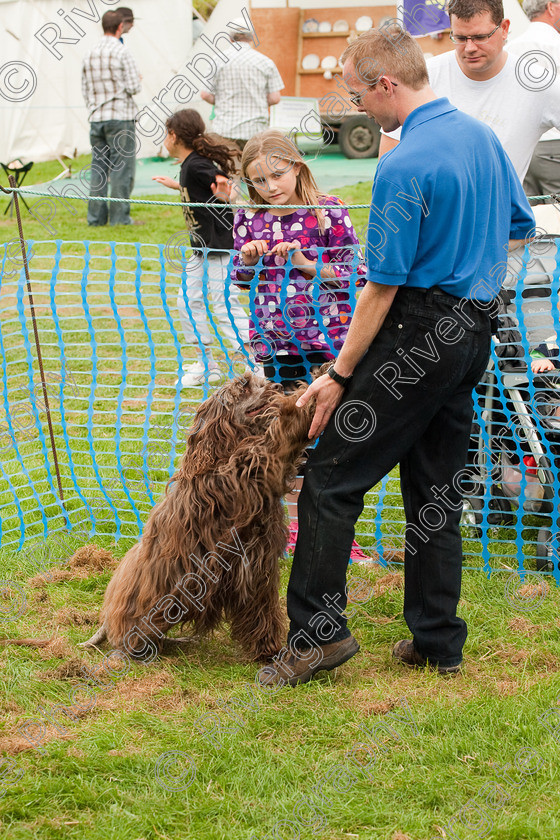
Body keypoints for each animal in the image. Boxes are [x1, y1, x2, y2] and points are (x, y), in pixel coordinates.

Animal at [82, 376, 316, 664]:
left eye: (261, 382)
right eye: (244, 386)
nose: (278, 387)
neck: (225, 450)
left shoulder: (257, 567)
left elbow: (262, 611)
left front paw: (268, 651)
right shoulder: (248, 469)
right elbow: (281, 434)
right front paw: (307, 396)